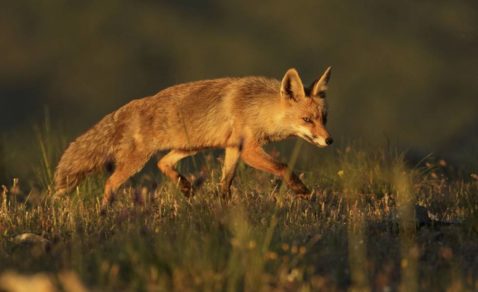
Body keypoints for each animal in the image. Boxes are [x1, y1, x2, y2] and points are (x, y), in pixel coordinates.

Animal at [54, 67, 332, 209]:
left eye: (324, 118)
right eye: (307, 120)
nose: (329, 141)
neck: (258, 109)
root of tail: (128, 108)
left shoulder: (233, 148)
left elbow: (225, 182)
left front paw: (224, 207)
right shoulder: (248, 149)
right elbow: (284, 167)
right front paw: (302, 191)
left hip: (190, 146)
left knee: (162, 163)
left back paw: (186, 187)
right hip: (137, 160)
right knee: (111, 182)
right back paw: (105, 211)